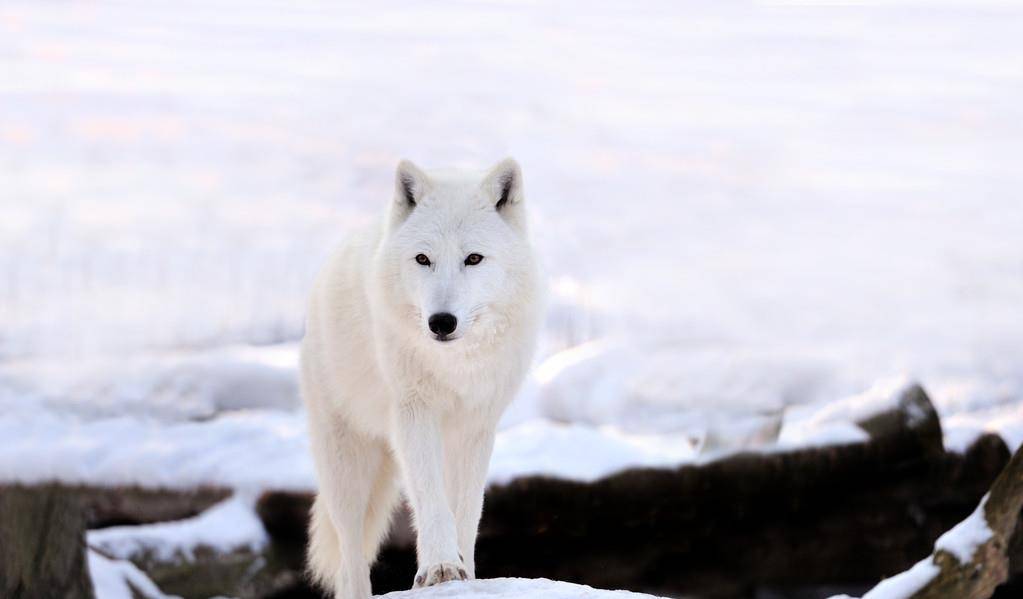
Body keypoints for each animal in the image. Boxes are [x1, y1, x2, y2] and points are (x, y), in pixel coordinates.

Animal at [298, 157, 544, 596]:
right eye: (423, 259)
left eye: (474, 259)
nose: (441, 322)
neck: (455, 366)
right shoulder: (414, 414)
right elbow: (430, 498)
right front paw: (441, 567)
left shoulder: (476, 428)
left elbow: (467, 510)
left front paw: (466, 575)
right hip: (346, 471)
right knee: (351, 559)